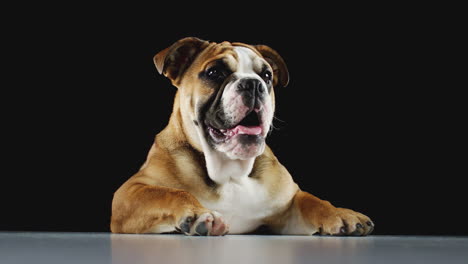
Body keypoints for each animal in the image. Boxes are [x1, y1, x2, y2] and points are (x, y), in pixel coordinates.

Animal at [109, 36, 372, 235]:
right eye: (214, 72)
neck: (230, 171)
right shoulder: (130, 192)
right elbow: (170, 193)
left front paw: (340, 214)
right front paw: (196, 214)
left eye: (266, 75)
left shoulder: (287, 205)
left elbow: (311, 200)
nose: (253, 84)